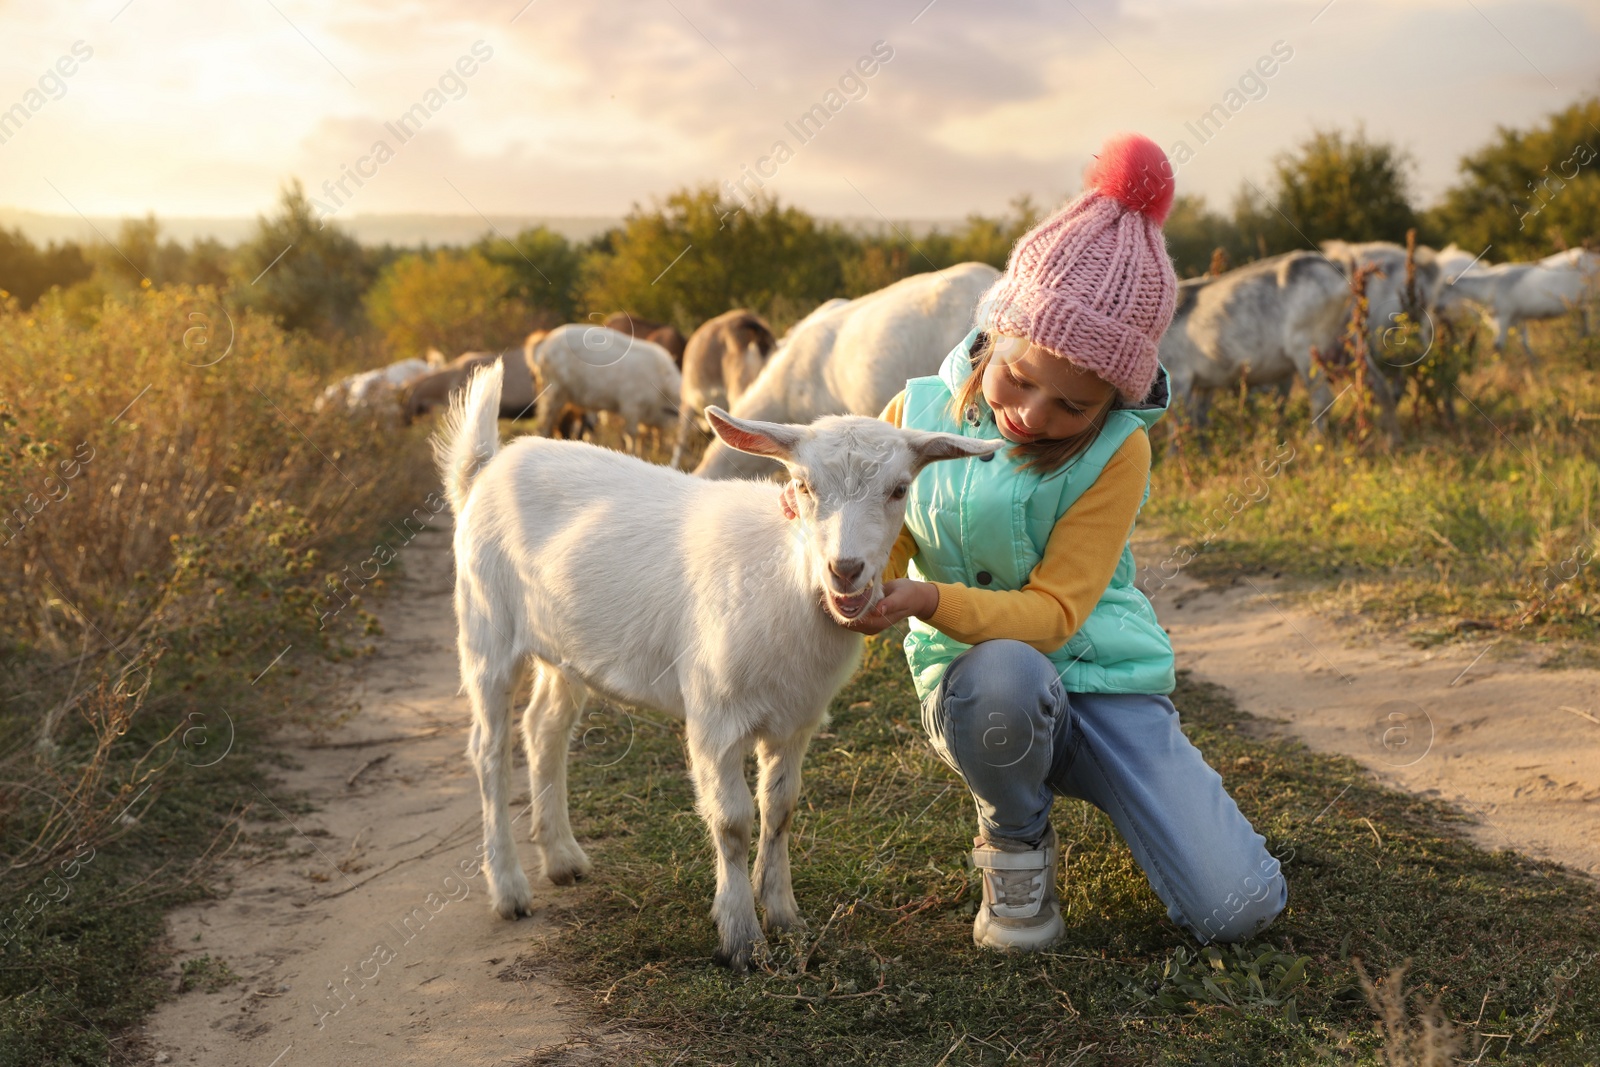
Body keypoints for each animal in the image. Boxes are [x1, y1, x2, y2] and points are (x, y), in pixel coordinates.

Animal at [432, 363, 992, 972]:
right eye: (803, 486)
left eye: (899, 489)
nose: (845, 570)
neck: (785, 580)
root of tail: (486, 469)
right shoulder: (714, 718)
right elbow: (732, 820)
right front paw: (741, 937)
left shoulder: (796, 721)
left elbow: (780, 809)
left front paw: (785, 916)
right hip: (486, 629)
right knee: (489, 753)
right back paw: (509, 888)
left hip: (566, 648)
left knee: (544, 730)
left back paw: (562, 858)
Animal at [521, 323, 678, 454]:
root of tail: (545, 340)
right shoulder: (631, 408)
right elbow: (632, 435)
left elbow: (641, 436)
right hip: (553, 395)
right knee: (544, 426)